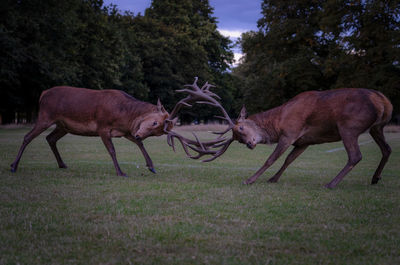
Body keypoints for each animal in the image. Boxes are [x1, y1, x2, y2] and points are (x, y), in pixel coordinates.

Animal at [10, 84, 222, 175]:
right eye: (155, 123)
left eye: (158, 133)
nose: (140, 133)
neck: (125, 116)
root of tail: (43, 94)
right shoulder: (103, 127)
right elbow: (112, 150)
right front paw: (120, 171)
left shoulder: (126, 131)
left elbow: (140, 145)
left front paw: (151, 166)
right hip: (45, 116)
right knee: (28, 136)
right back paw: (13, 166)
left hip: (63, 126)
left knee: (50, 139)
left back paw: (62, 164)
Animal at [172, 78, 390, 188]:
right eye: (239, 140)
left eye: (240, 129)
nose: (250, 144)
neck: (279, 121)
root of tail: (383, 100)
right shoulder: (304, 141)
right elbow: (288, 160)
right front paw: (273, 179)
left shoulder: (290, 133)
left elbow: (271, 159)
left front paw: (250, 179)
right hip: (376, 127)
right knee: (386, 149)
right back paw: (375, 178)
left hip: (349, 126)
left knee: (356, 155)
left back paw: (331, 183)